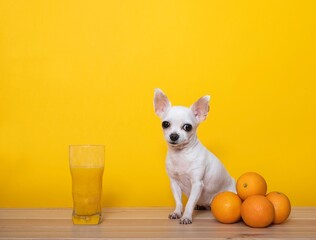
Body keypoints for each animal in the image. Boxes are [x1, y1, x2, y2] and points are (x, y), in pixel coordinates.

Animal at [154, 88, 236, 225]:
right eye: (165, 124)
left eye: (187, 127)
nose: (174, 135)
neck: (181, 155)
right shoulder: (174, 183)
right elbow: (179, 201)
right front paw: (177, 212)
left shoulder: (197, 184)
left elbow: (189, 203)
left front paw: (186, 217)